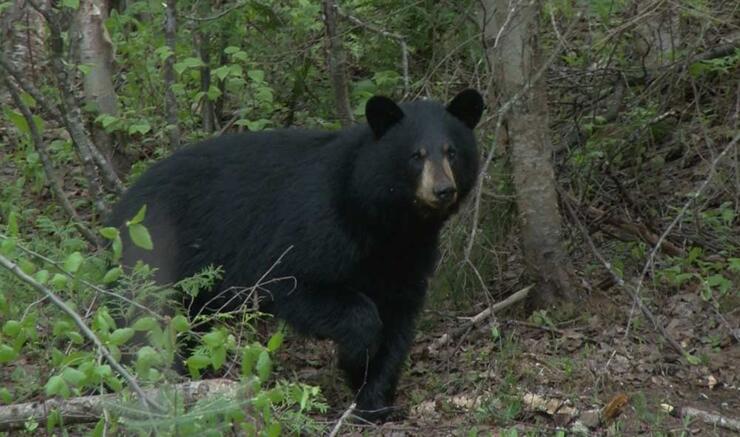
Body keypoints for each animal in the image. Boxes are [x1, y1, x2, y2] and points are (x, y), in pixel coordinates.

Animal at [107, 87, 482, 418]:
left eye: (451, 152)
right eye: (416, 155)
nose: (443, 190)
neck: (385, 220)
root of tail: (123, 204)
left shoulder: (408, 256)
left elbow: (398, 323)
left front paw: (375, 401)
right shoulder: (314, 228)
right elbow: (300, 284)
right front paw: (355, 357)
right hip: (153, 253)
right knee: (139, 317)